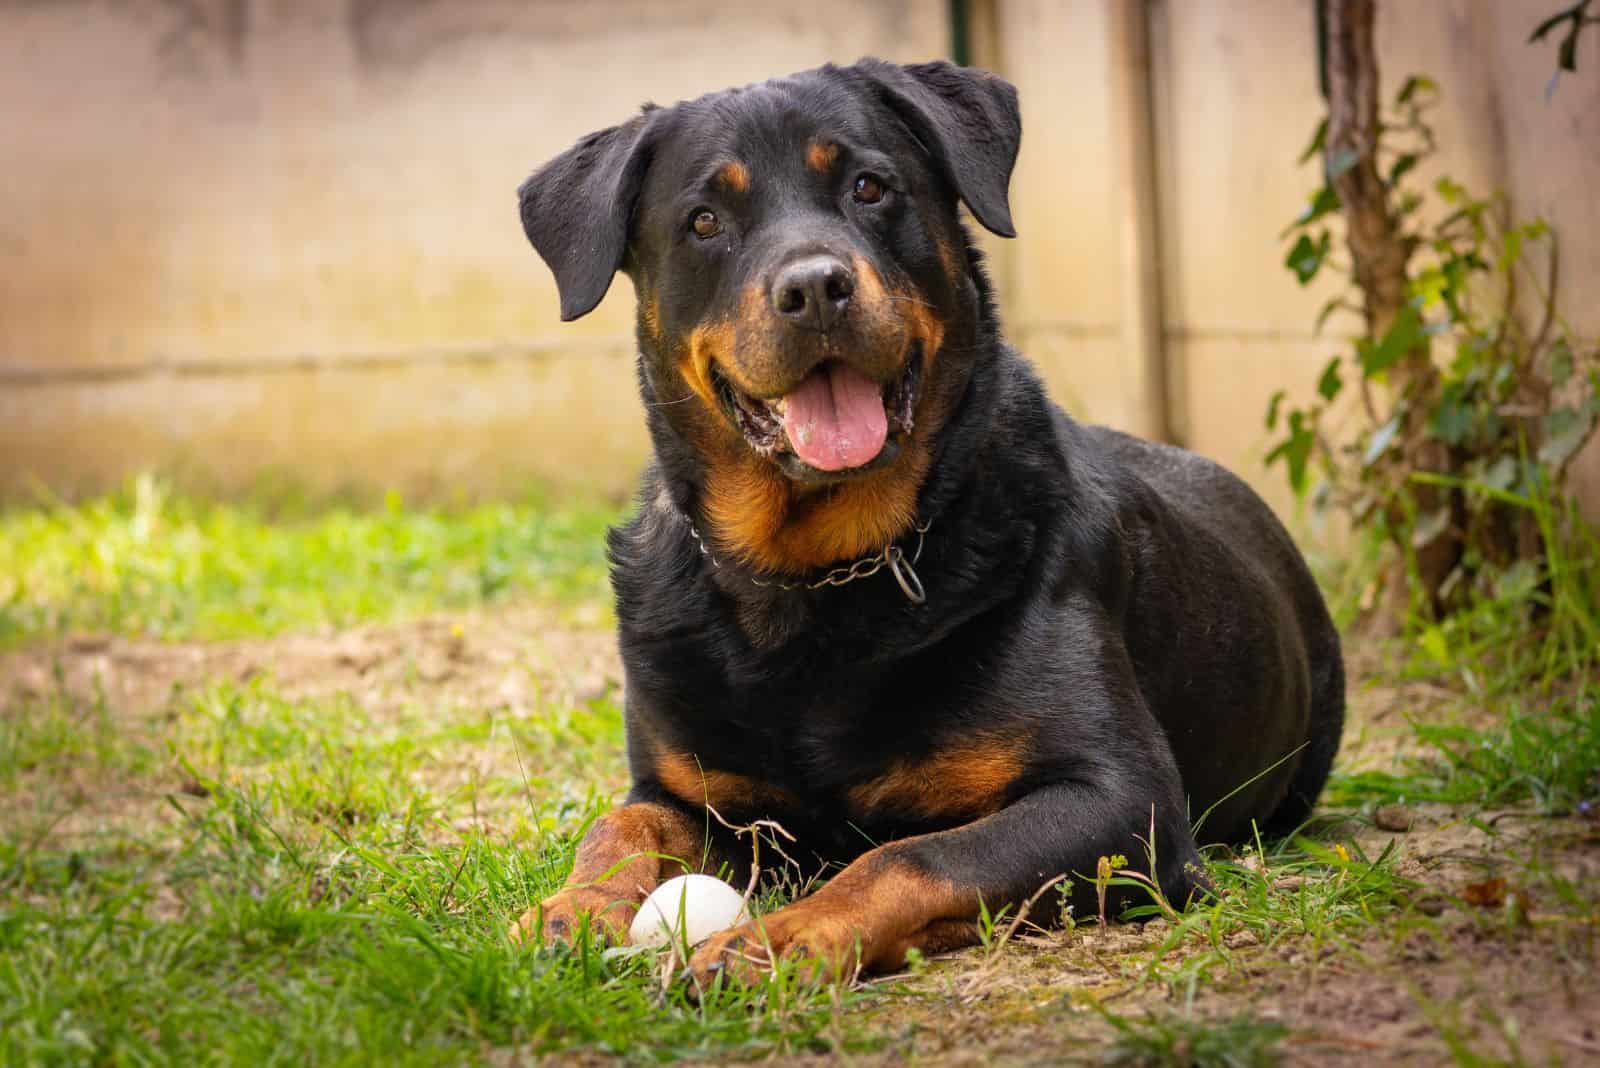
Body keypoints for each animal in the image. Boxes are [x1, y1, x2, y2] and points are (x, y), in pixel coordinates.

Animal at [508, 62, 1337, 991]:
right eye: (705, 221)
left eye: (870, 187)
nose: (814, 288)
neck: (816, 576)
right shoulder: (690, 792)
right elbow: (621, 825)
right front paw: (572, 909)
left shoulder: (1121, 799)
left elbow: (911, 856)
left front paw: (781, 937)